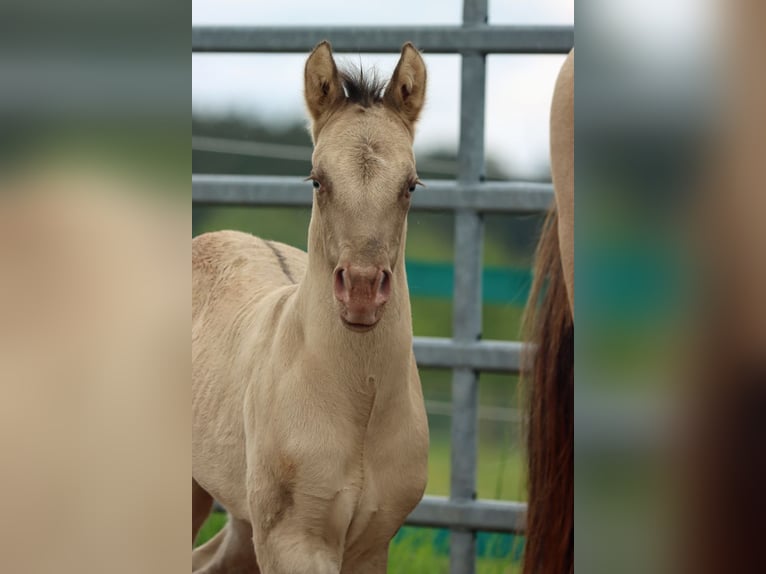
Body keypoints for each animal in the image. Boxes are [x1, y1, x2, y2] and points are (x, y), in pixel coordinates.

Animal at [191, 42, 429, 574]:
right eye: (318, 180)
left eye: (410, 185)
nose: (361, 290)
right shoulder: (294, 540)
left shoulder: (371, 544)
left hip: (241, 517)